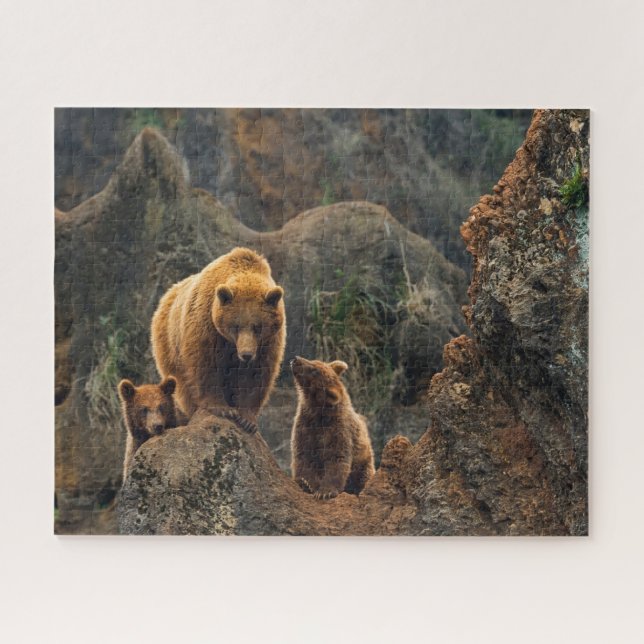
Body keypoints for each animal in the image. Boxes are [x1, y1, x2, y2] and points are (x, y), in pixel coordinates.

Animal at [151, 247, 286, 434]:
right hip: (170, 344)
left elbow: (257, 375)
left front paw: (247, 420)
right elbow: (205, 365)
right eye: (236, 326)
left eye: (257, 326)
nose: (246, 354)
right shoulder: (206, 325)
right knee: (183, 383)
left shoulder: (268, 342)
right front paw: (222, 408)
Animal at [290, 356, 375, 500]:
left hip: (364, 463)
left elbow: (337, 459)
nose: (296, 359)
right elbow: (303, 456)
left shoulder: (338, 431)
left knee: (363, 478)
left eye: (314, 370)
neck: (319, 414)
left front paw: (325, 492)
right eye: (314, 361)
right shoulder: (305, 426)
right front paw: (306, 483)